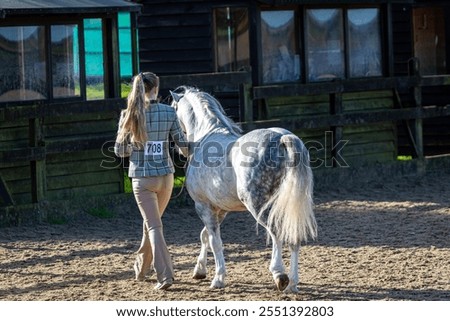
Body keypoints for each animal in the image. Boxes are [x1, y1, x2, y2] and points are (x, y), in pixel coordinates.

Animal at [170, 86, 316, 292]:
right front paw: (199, 270)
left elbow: (215, 242)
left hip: (259, 206)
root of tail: (282, 137)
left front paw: (218, 278)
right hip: (287, 205)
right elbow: (205, 235)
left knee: (277, 233)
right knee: (292, 236)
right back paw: (293, 283)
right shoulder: (219, 209)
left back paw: (279, 275)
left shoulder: (203, 206)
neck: (205, 136)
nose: (180, 150)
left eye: (173, 110)